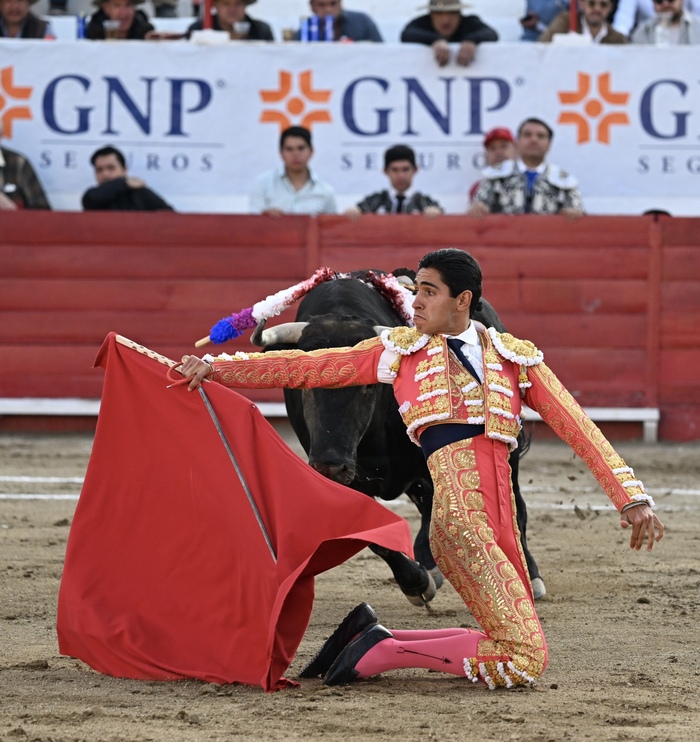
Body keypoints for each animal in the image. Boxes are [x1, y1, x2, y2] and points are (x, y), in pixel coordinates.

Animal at [252, 271, 544, 605]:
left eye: (367, 385)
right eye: (303, 385)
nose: (330, 466)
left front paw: (426, 573)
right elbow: (372, 534)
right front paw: (417, 582)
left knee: (514, 506)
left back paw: (532, 577)